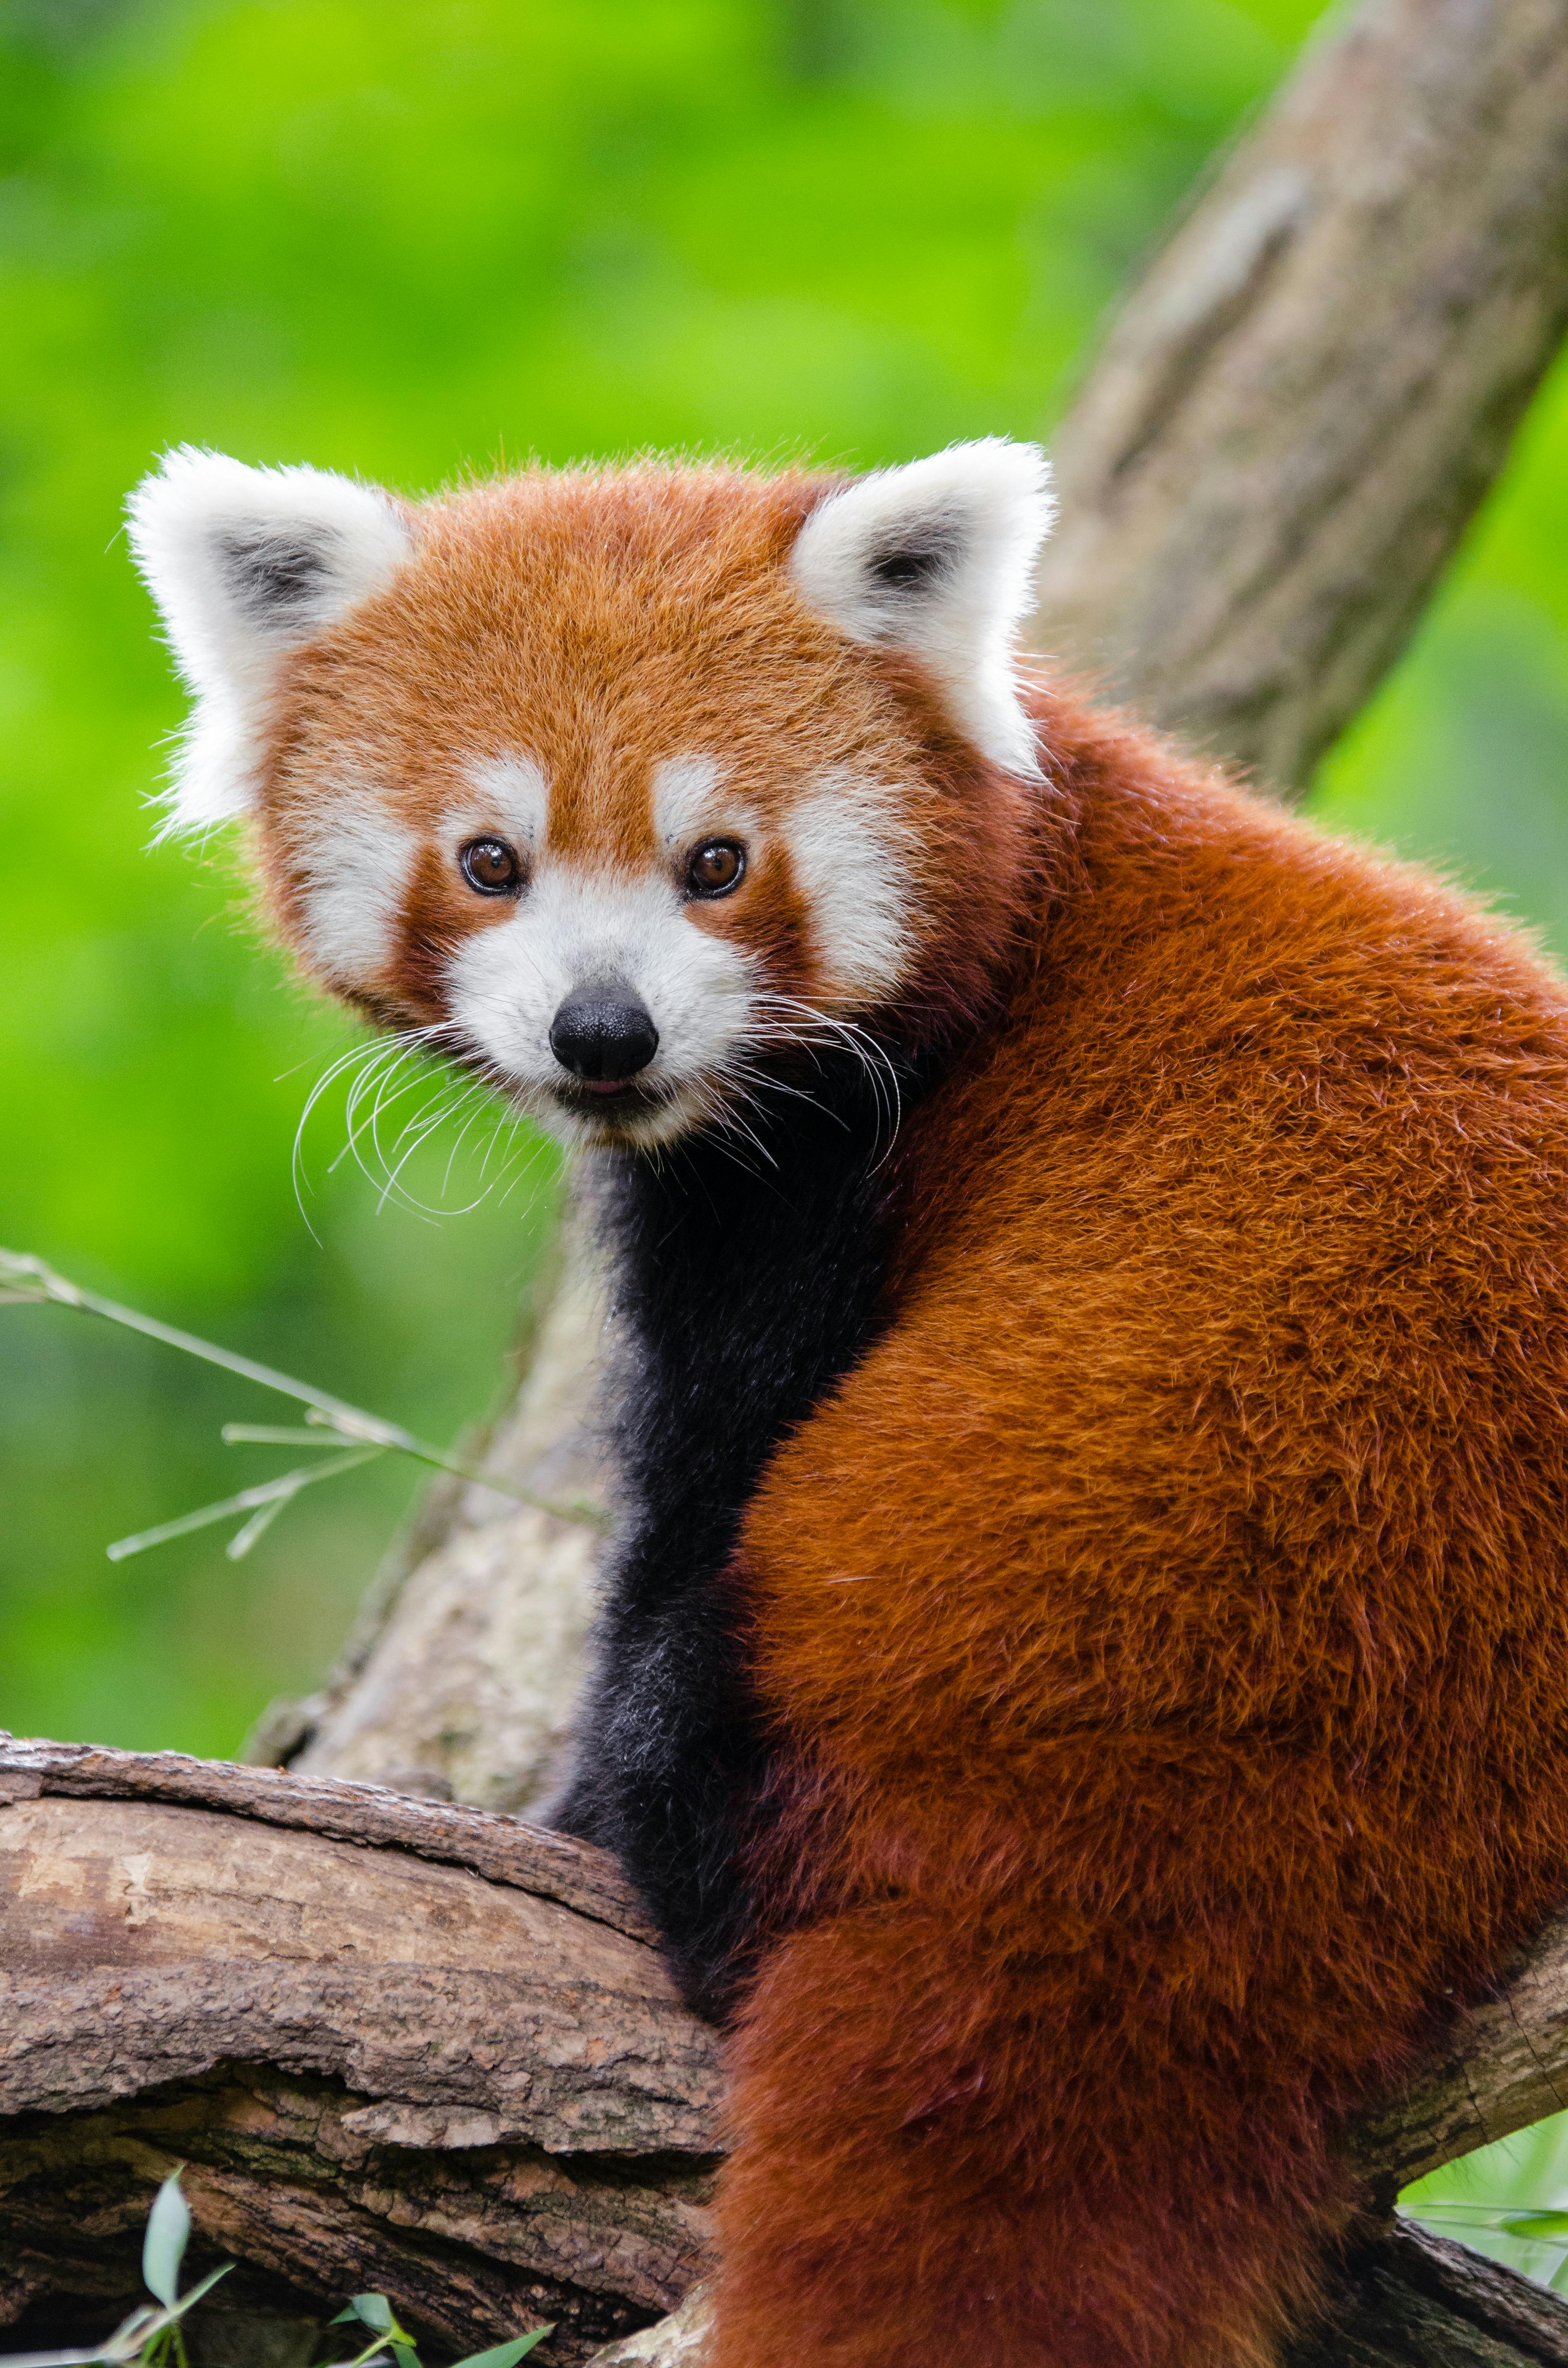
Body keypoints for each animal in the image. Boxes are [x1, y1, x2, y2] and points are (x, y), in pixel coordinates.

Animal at [126, 447, 1568, 2368]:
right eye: (490, 861)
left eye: (715, 863)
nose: (603, 1031)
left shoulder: (814, 1193)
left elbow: (695, 1492)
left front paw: (557, 1806)